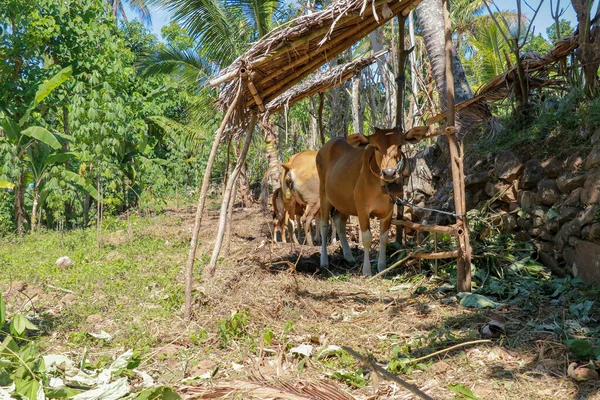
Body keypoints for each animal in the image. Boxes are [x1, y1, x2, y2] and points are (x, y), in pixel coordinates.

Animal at [316, 127, 428, 276]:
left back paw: (349, 256)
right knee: (323, 225)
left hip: (344, 202)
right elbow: (367, 238)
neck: (380, 188)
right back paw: (324, 261)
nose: (389, 172)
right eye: (376, 147)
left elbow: (384, 238)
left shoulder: (388, 212)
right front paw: (367, 270)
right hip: (324, 195)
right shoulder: (362, 209)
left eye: (399, 146)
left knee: (339, 223)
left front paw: (382, 267)